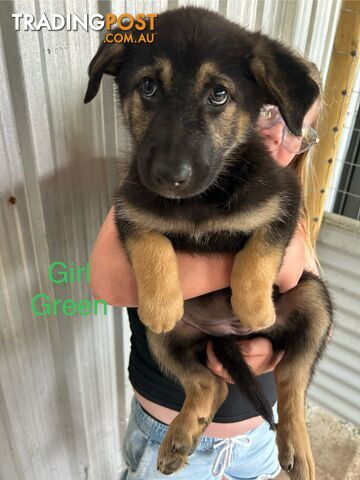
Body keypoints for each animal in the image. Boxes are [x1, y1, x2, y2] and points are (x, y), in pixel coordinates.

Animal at [83, 7, 332, 480]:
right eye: (148, 86)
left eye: (219, 94)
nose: (170, 176)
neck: (201, 201)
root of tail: (224, 337)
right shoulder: (129, 208)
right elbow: (152, 243)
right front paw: (162, 302)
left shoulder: (284, 201)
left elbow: (259, 250)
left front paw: (253, 306)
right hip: (168, 341)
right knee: (210, 384)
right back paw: (181, 435)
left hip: (313, 302)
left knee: (291, 384)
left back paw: (298, 446)